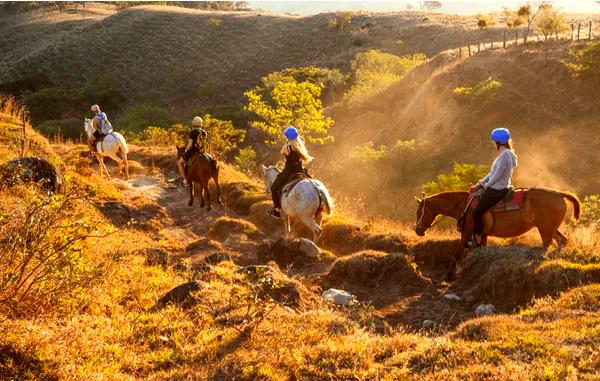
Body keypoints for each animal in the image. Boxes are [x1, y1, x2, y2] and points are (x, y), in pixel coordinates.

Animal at [414, 186, 580, 246]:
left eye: (419, 212)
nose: (417, 230)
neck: (465, 205)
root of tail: (558, 193)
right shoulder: (482, 235)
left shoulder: (467, 232)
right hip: (550, 228)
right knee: (562, 241)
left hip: (545, 231)